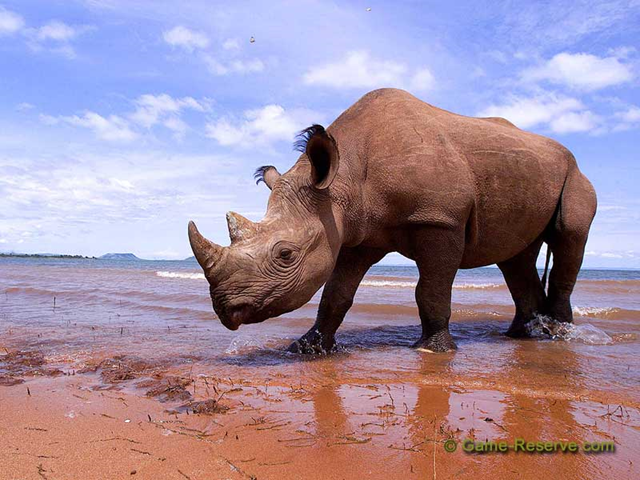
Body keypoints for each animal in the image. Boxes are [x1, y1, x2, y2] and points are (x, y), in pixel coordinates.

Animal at [188, 88, 597, 353]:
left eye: (285, 254)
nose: (224, 309)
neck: (342, 181)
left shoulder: (440, 220)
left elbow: (430, 290)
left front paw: (434, 350)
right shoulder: (355, 232)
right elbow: (335, 294)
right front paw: (307, 348)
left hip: (574, 174)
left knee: (568, 238)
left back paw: (559, 335)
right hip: (526, 174)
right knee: (516, 256)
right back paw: (524, 337)